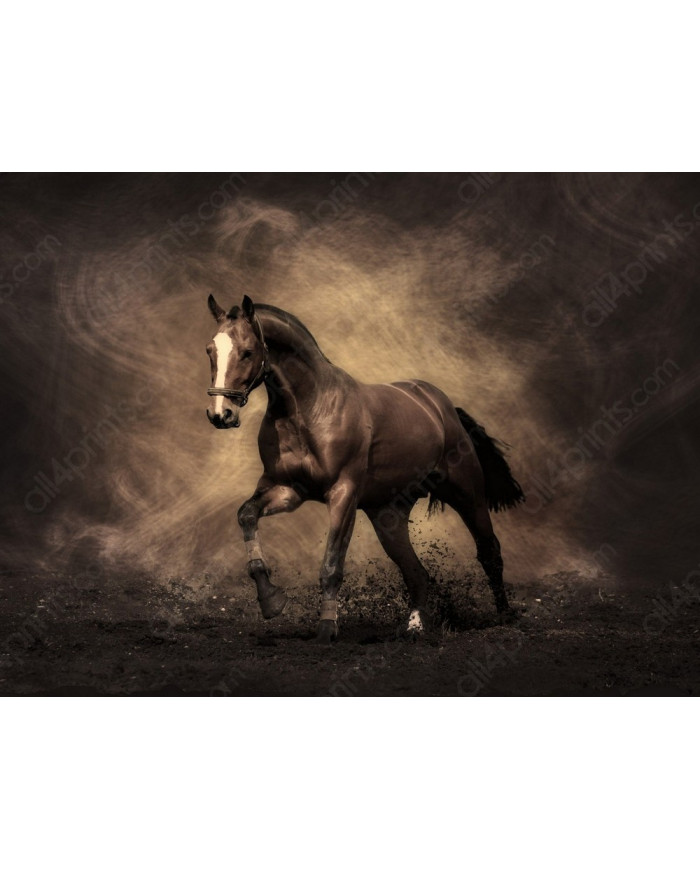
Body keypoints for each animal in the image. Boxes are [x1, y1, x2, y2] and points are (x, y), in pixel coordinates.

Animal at [205, 294, 525, 643]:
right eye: (210, 350)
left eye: (248, 351)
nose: (220, 414)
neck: (309, 409)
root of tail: (441, 407)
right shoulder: (287, 490)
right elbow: (246, 515)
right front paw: (271, 601)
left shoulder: (343, 494)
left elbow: (332, 565)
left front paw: (326, 629)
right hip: (388, 516)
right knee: (416, 572)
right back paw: (415, 627)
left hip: (467, 494)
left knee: (489, 551)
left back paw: (504, 616)